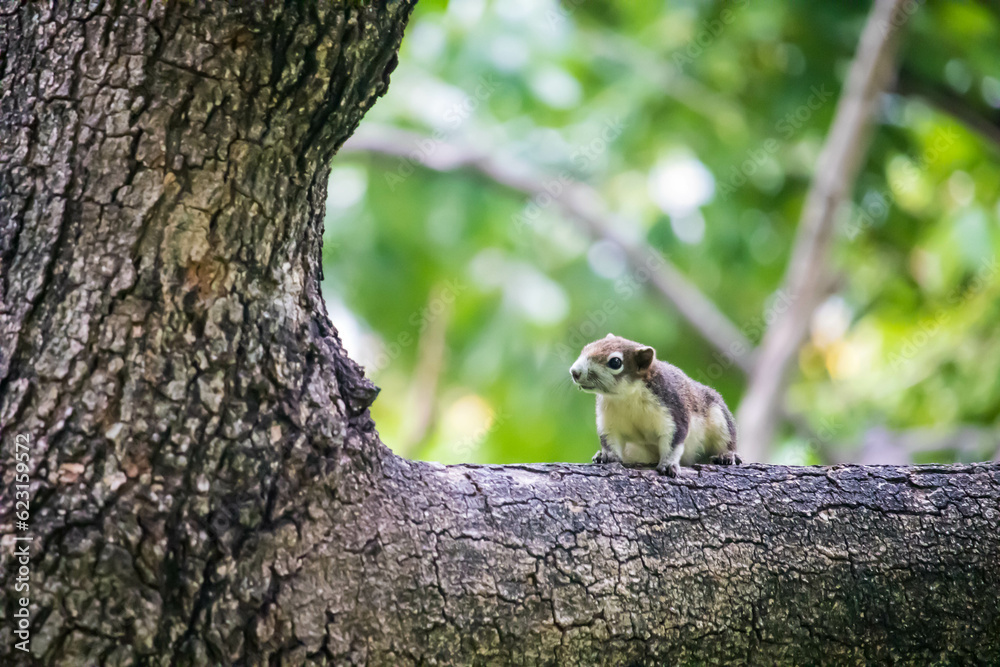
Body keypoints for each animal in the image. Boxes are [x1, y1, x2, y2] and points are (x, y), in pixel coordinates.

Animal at [572, 336, 744, 478]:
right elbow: (609, 438)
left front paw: (668, 464)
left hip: (718, 418)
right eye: (586, 347)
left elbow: (673, 440)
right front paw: (607, 456)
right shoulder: (608, 419)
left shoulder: (672, 408)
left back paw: (727, 456)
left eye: (615, 362)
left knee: (726, 440)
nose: (575, 372)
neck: (627, 396)